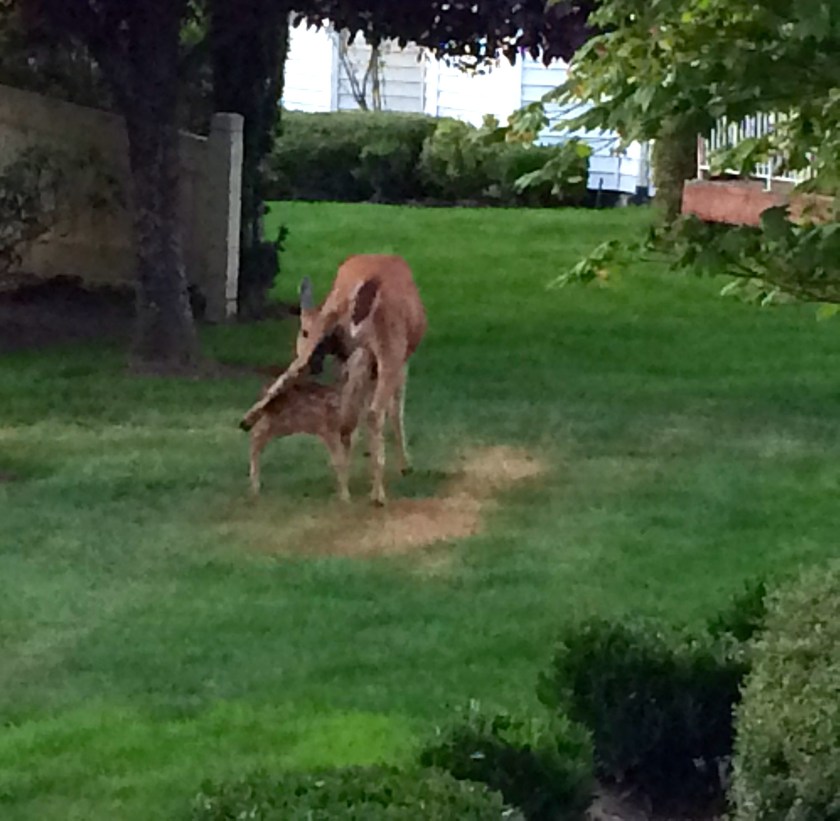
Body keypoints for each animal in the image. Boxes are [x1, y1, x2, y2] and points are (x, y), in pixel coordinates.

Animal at [248, 347, 377, 501]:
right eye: (353, 363)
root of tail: (264, 391)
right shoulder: (328, 430)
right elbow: (338, 462)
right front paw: (345, 497)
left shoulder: (349, 434)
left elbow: (346, 461)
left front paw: (342, 491)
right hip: (276, 421)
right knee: (255, 435)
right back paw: (254, 487)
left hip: (282, 425)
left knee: (256, 435)